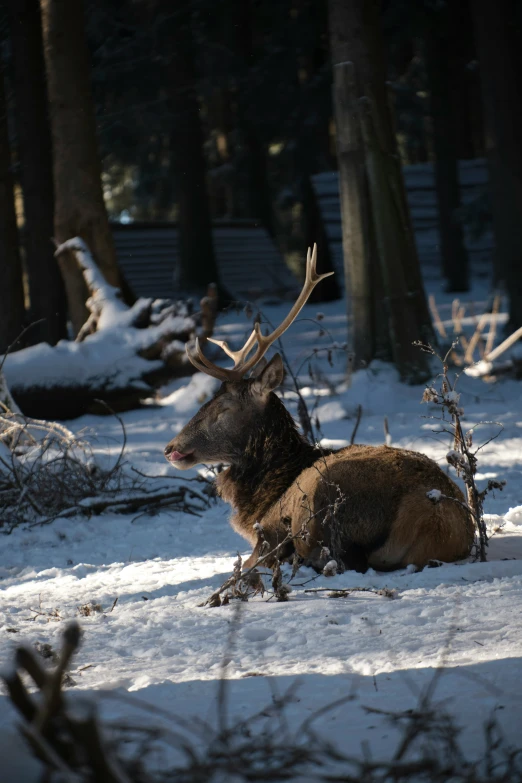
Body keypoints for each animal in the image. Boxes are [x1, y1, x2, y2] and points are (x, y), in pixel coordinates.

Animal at [165, 247, 474, 576]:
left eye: (222, 408)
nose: (170, 448)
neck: (262, 497)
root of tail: (431, 515)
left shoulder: (267, 532)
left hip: (323, 504)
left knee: (339, 559)